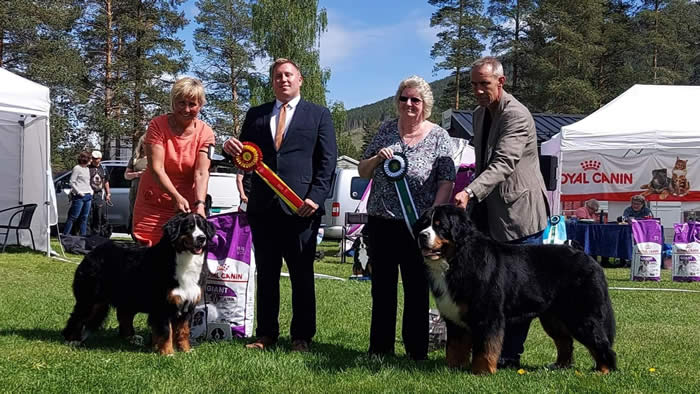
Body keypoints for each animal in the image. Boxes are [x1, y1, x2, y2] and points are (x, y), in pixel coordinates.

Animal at [63, 212, 216, 354]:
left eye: (202, 228)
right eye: (188, 227)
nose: (201, 238)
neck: (184, 260)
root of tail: (91, 253)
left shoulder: (187, 305)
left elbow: (183, 331)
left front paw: (186, 351)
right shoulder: (162, 305)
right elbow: (166, 331)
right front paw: (168, 353)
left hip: (127, 297)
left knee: (124, 316)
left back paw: (132, 338)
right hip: (90, 299)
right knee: (78, 317)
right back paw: (72, 340)